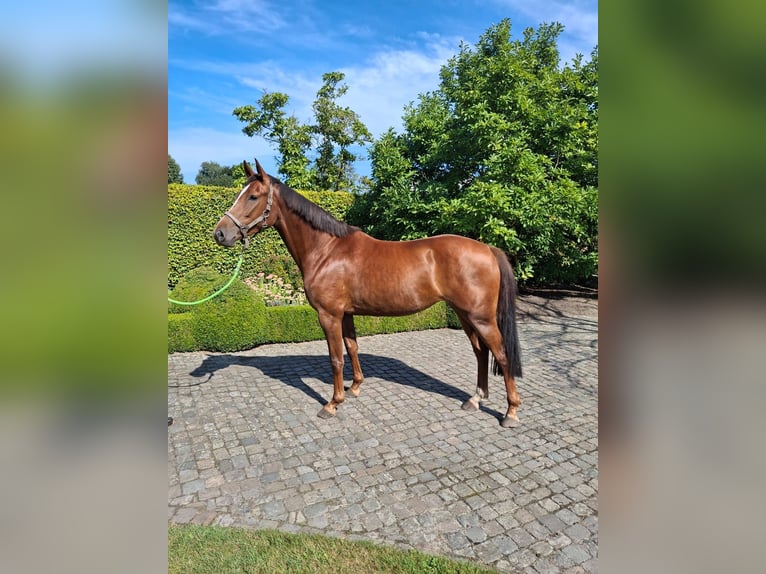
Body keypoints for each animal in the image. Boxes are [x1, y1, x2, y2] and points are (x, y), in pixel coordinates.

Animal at [216, 160, 528, 430]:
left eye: (253, 196)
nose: (220, 234)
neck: (327, 250)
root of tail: (488, 249)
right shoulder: (346, 314)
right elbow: (352, 348)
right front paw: (355, 387)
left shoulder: (329, 315)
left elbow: (335, 358)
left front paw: (332, 403)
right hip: (465, 315)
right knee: (480, 352)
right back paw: (474, 399)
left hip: (481, 317)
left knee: (501, 355)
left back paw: (511, 412)